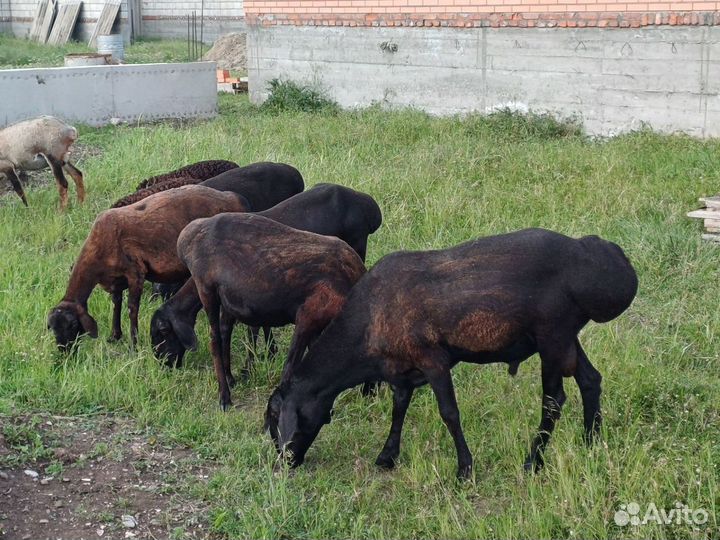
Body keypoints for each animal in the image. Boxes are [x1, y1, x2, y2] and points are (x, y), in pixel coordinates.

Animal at [47, 185, 250, 351]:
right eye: (52, 328)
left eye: (73, 325)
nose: (64, 351)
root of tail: (234, 198)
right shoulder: (116, 280)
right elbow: (116, 303)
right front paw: (115, 336)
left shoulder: (135, 273)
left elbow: (132, 308)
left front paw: (133, 345)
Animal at [151, 183, 382, 382]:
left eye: (162, 331)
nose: (164, 365)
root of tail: (369, 206)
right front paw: (256, 361)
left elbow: (252, 330)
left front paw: (249, 367)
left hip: (358, 247)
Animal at [176, 212, 368, 411]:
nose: (368, 394)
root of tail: (185, 236)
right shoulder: (308, 316)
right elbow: (290, 367)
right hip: (206, 291)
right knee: (215, 341)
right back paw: (224, 397)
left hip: (226, 300)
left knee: (224, 333)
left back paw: (230, 379)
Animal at [265, 228, 638, 479]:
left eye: (278, 420)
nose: (285, 463)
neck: (366, 323)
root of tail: (604, 260)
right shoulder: (402, 368)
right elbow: (398, 408)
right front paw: (388, 456)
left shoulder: (433, 360)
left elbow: (449, 413)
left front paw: (464, 469)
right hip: (566, 337)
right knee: (590, 380)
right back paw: (591, 441)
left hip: (552, 334)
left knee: (554, 400)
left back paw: (534, 461)